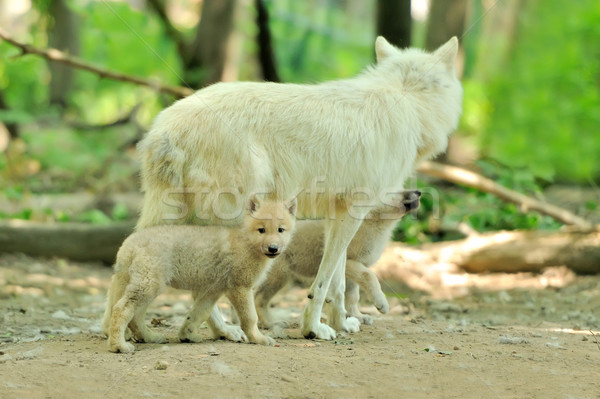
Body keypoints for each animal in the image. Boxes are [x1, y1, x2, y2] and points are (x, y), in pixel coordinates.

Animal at [102, 198, 296, 354]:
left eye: (280, 230)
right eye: (261, 230)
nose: (273, 248)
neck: (247, 242)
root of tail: (129, 243)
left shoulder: (213, 291)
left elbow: (198, 314)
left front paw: (187, 335)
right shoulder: (241, 288)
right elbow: (250, 318)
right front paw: (259, 339)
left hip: (143, 286)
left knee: (134, 317)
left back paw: (149, 337)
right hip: (148, 286)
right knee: (121, 310)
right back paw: (118, 346)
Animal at [137, 36, 464, 340]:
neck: (406, 98)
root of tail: (165, 129)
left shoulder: (337, 212)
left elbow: (338, 282)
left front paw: (341, 323)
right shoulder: (354, 210)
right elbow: (324, 280)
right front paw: (313, 329)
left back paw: (162, 331)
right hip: (230, 219)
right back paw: (214, 331)